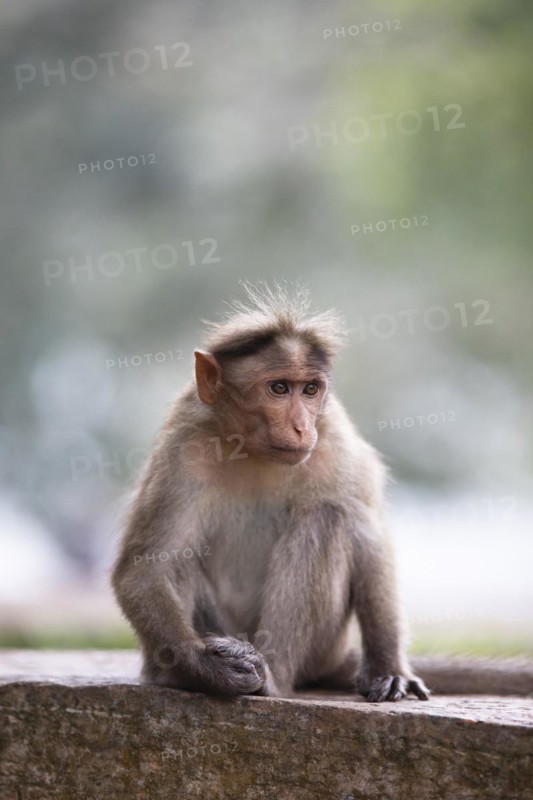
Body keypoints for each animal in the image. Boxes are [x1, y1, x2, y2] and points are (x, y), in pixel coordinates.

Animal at [111, 283, 430, 703]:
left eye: (309, 390)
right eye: (279, 388)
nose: (301, 427)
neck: (253, 450)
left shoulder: (335, 443)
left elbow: (370, 543)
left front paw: (387, 667)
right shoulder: (184, 448)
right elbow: (146, 568)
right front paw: (207, 668)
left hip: (322, 647)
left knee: (327, 517)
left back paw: (273, 680)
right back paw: (177, 675)